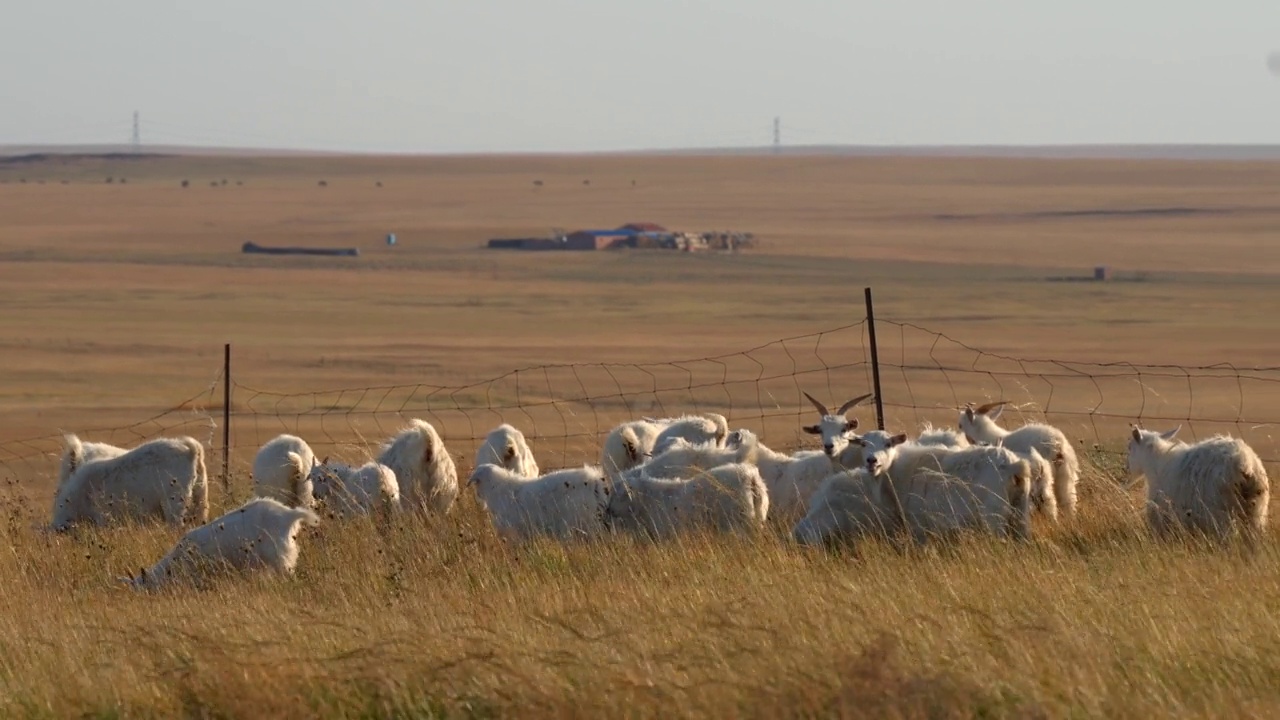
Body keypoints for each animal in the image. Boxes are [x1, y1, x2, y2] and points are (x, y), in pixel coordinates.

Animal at [1131, 425, 1269, 538]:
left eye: (1129, 447)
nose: (1127, 468)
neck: (1156, 463)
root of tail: (1245, 463)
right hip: (1257, 513)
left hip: (1222, 513)